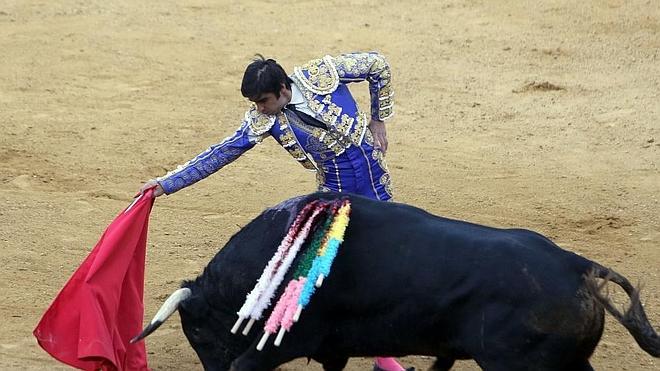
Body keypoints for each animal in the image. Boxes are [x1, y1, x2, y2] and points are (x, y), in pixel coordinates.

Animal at [131, 193, 656, 370]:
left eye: (197, 332)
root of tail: (577, 266)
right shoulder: (332, 349)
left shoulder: (277, 345)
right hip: (568, 363)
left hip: (522, 367)